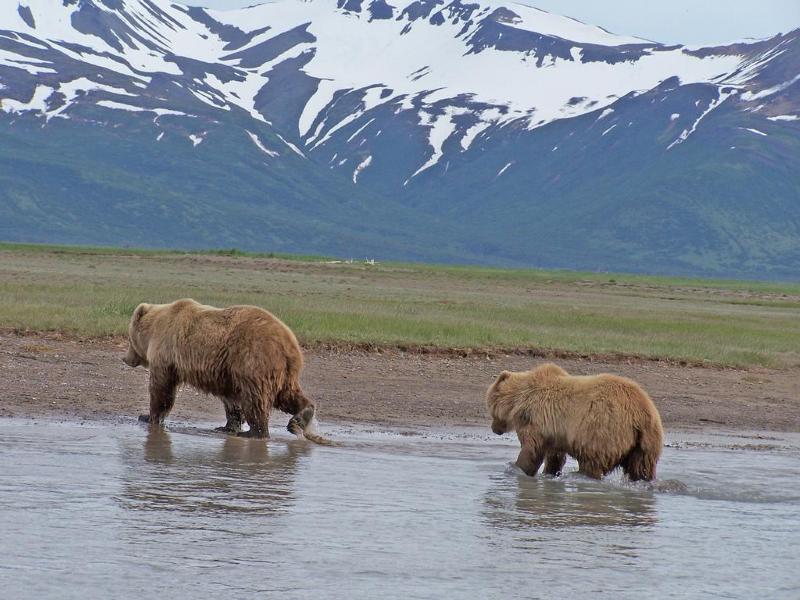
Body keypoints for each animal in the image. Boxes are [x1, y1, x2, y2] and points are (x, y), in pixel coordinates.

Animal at [122, 300, 328, 446]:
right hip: (281, 373)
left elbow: (161, 388)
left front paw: (148, 416)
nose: (125, 358)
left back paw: (254, 432)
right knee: (287, 395)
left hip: (253, 360)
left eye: (129, 338)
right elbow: (231, 400)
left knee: (256, 400)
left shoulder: (167, 352)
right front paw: (227, 426)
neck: (154, 328)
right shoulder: (225, 371)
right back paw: (301, 417)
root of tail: (289, 344)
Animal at [488, 360, 664, 482]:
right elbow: (554, 456)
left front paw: (516, 468)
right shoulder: (554, 432)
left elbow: (531, 449)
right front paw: (549, 473)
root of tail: (641, 412)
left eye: (489, 407)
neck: (518, 400)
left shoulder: (536, 420)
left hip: (602, 428)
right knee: (641, 468)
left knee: (592, 461)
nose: (494, 429)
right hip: (645, 442)